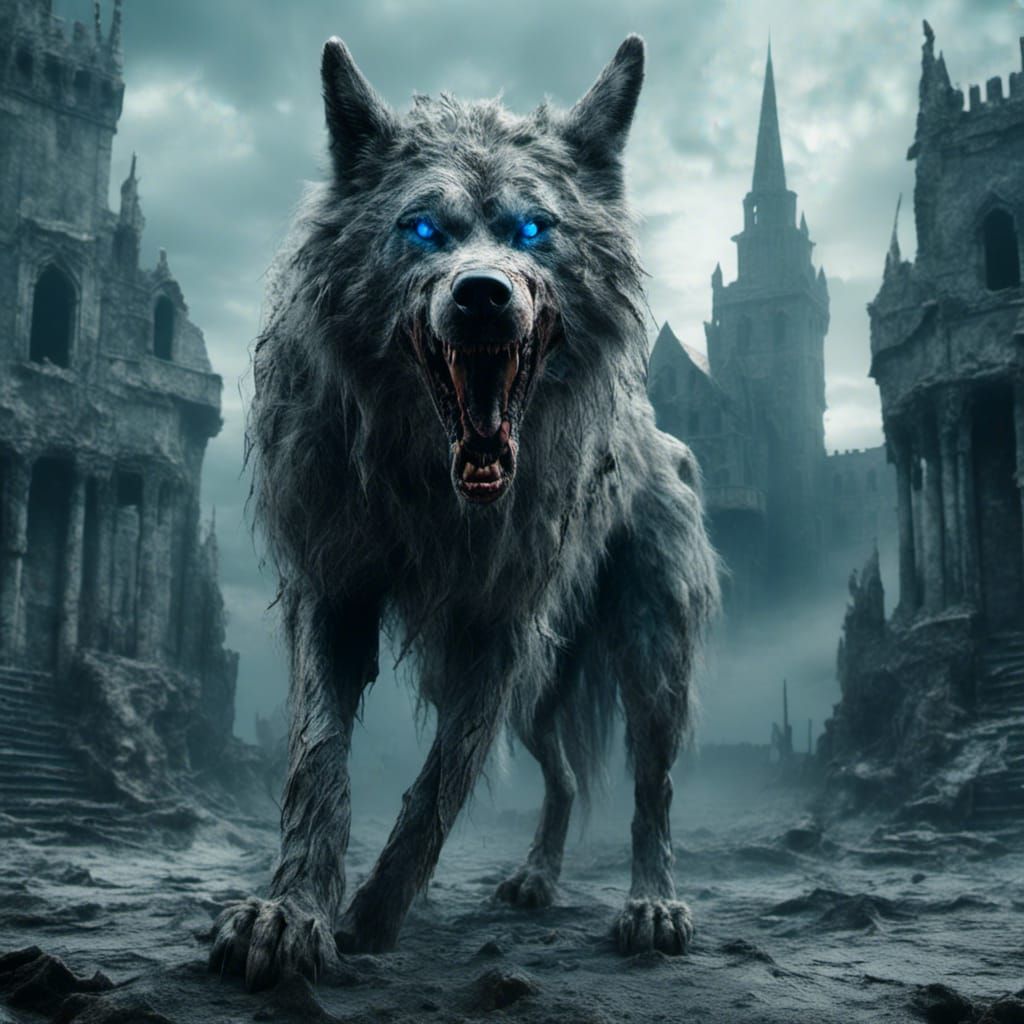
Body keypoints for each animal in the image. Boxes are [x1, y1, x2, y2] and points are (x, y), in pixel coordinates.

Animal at [209, 33, 719, 991]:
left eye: (532, 230)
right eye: (422, 230)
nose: (482, 294)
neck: (433, 493)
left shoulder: (497, 626)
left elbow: (441, 782)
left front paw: (373, 917)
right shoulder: (335, 595)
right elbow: (319, 763)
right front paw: (293, 914)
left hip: (649, 659)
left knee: (653, 786)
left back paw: (651, 904)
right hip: (538, 696)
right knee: (563, 780)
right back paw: (536, 878)